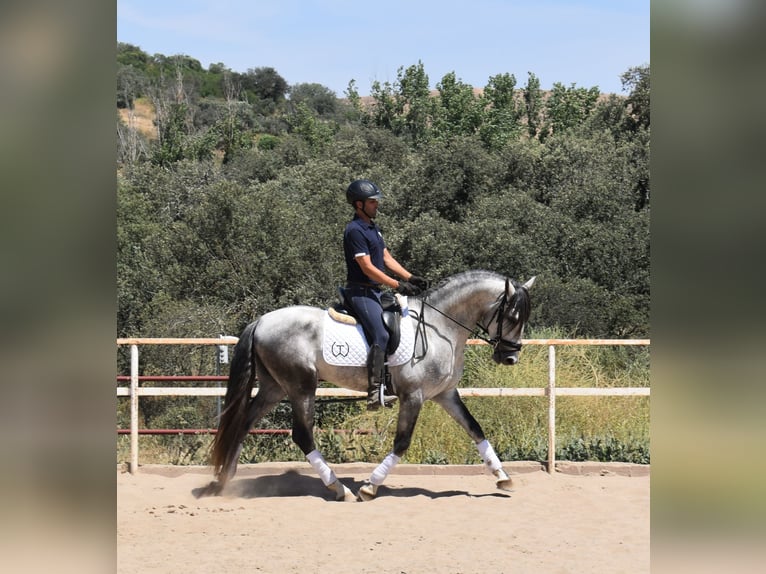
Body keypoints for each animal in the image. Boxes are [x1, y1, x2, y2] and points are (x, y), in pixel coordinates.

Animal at [207, 272, 536, 502]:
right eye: (512, 316)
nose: (510, 357)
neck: (440, 327)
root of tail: (261, 321)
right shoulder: (413, 396)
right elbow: (402, 442)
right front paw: (370, 486)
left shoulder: (444, 394)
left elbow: (475, 429)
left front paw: (503, 476)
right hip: (301, 386)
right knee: (302, 435)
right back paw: (338, 487)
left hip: (274, 388)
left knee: (244, 423)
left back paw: (225, 480)